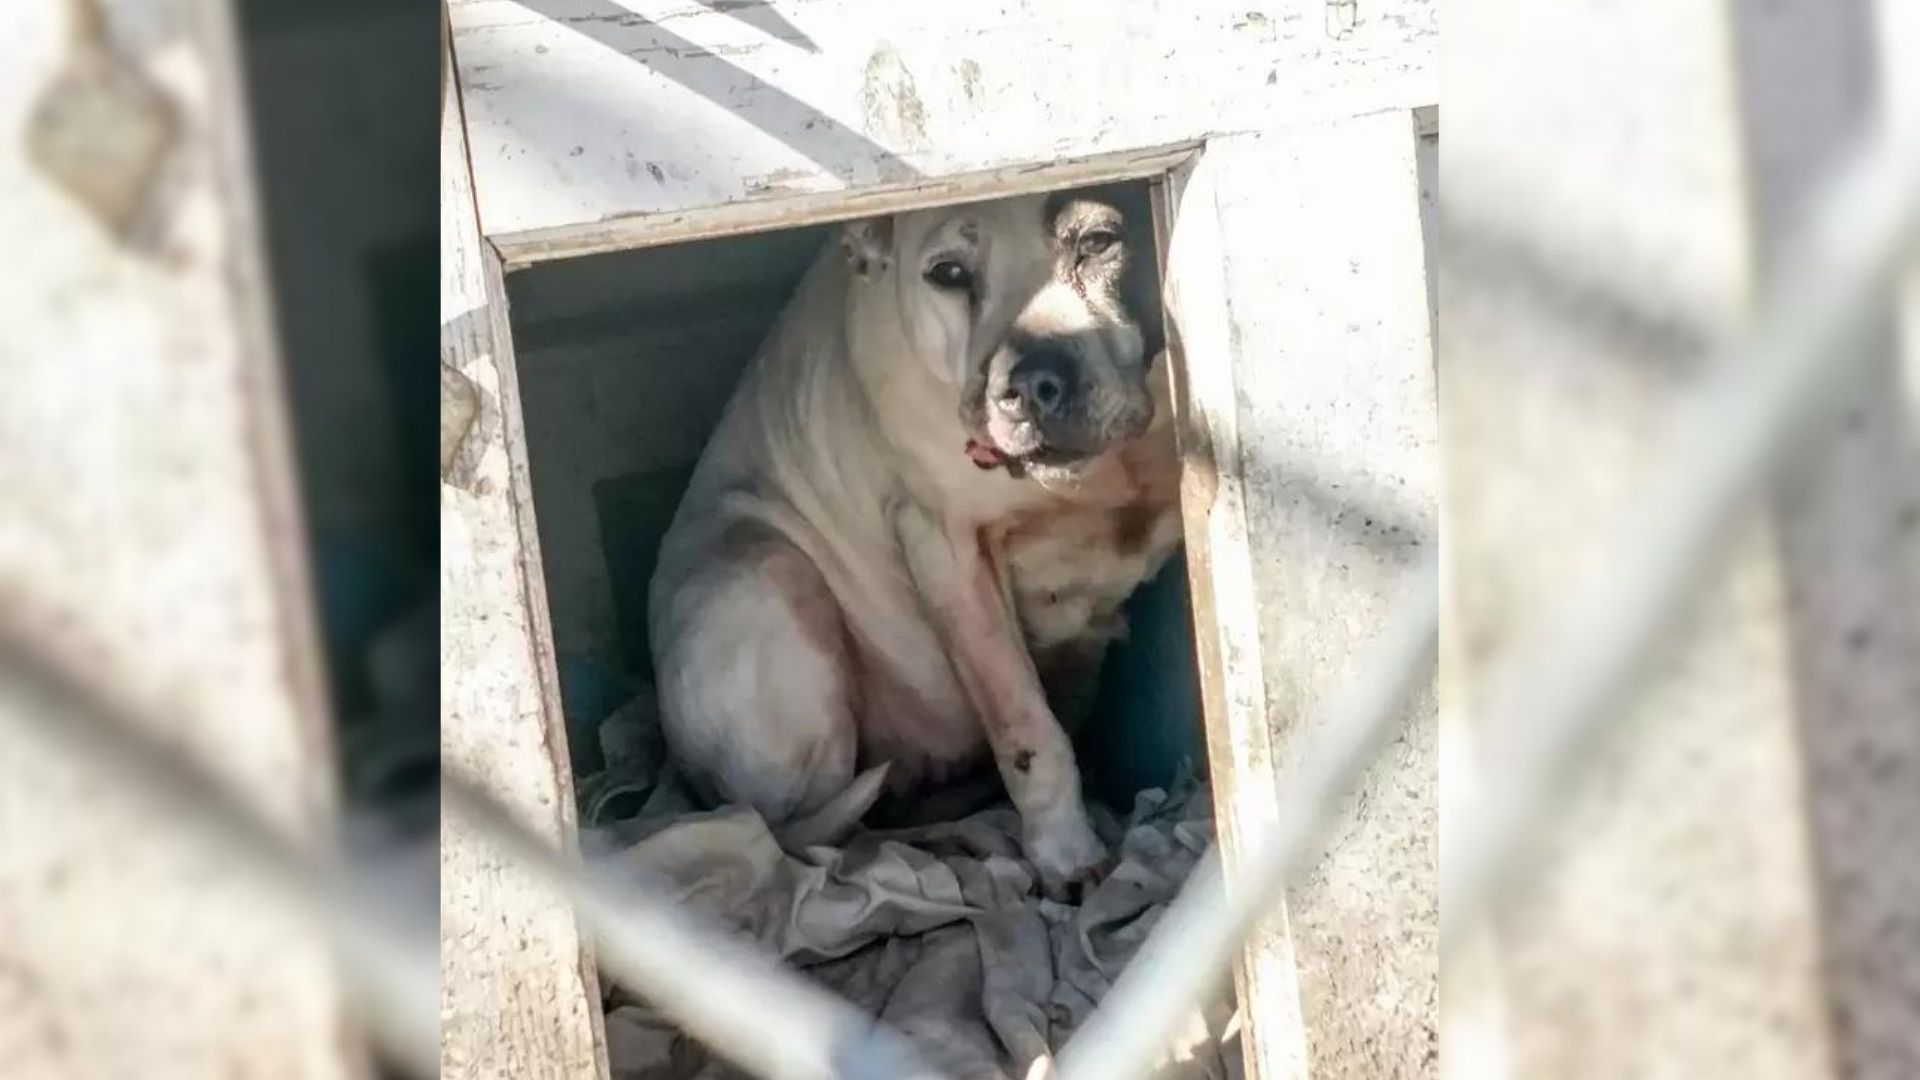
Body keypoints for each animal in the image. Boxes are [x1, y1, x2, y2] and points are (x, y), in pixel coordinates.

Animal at [652, 187, 1175, 891]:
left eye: (1097, 241)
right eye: (948, 273)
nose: (1030, 386)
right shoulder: (948, 549)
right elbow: (1028, 730)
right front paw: (1066, 851)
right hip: (762, 576)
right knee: (806, 828)